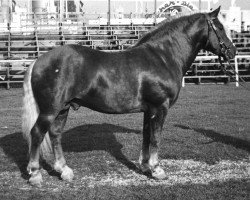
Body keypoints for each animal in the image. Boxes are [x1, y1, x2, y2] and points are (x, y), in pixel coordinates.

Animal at [22, 6, 235, 188]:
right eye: (220, 27)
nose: (232, 51)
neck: (163, 57)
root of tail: (38, 60)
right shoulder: (160, 107)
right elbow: (156, 138)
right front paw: (157, 170)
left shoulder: (149, 110)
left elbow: (147, 135)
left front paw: (145, 166)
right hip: (50, 111)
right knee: (37, 133)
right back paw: (35, 174)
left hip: (63, 108)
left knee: (55, 134)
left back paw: (64, 171)